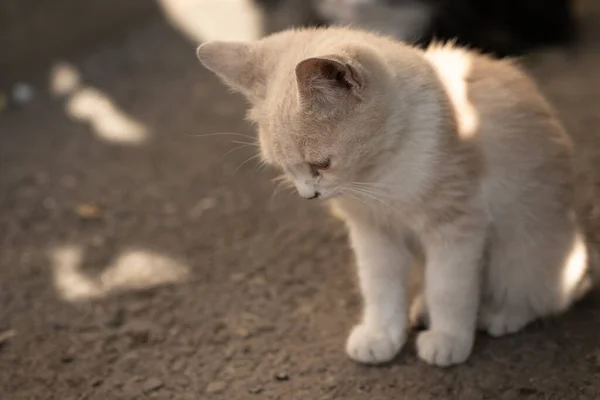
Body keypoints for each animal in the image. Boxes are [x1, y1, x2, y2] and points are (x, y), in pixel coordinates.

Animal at [197, 26, 592, 368]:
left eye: (320, 164)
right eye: (284, 168)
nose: (309, 195)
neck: (380, 176)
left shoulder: (457, 226)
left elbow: (450, 287)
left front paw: (449, 339)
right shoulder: (373, 234)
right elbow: (379, 287)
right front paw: (381, 336)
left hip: (522, 250)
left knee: (542, 291)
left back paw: (502, 314)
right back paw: (424, 309)